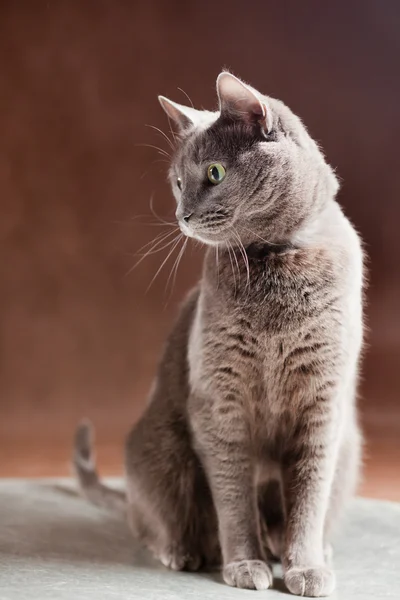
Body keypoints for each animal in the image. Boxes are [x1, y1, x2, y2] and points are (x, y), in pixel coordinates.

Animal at [73, 70, 364, 596]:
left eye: (214, 174)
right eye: (177, 182)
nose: (181, 215)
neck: (272, 259)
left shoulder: (323, 403)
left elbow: (309, 497)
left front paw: (306, 567)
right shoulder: (220, 400)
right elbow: (232, 495)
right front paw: (244, 564)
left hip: (350, 448)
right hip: (162, 453)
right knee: (154, 519)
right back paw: (183, 551)